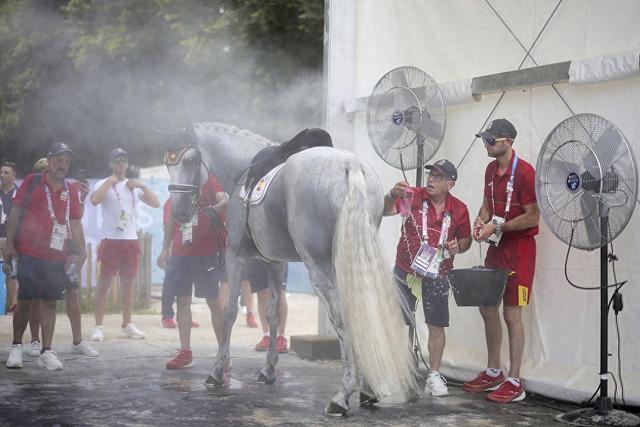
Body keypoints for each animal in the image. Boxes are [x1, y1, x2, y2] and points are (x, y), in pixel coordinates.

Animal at [162, 123, 418, 418]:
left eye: (189, 161)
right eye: (167, 162)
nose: (180, 212)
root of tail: (350, 165)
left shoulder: (235, 257)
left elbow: (229, 313)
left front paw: (217, 372)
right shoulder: (275, 262)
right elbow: (273, 312)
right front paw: (269, 368)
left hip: (319, 265)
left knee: (341, 315)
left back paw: (343, 395)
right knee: (363, 309)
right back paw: (367, 389)